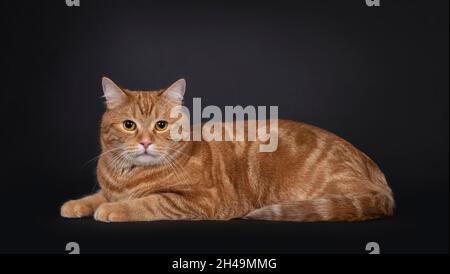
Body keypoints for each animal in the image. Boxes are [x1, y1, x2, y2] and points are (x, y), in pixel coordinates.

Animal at [60, 77, 394, 223]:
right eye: (129, 125)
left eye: (161, 125)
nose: (145, 142)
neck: (127, 177)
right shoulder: (108, 187)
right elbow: (96, 196)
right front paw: (76, 205)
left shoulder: (200, 200)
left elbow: (147, 202)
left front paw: (114, 209)